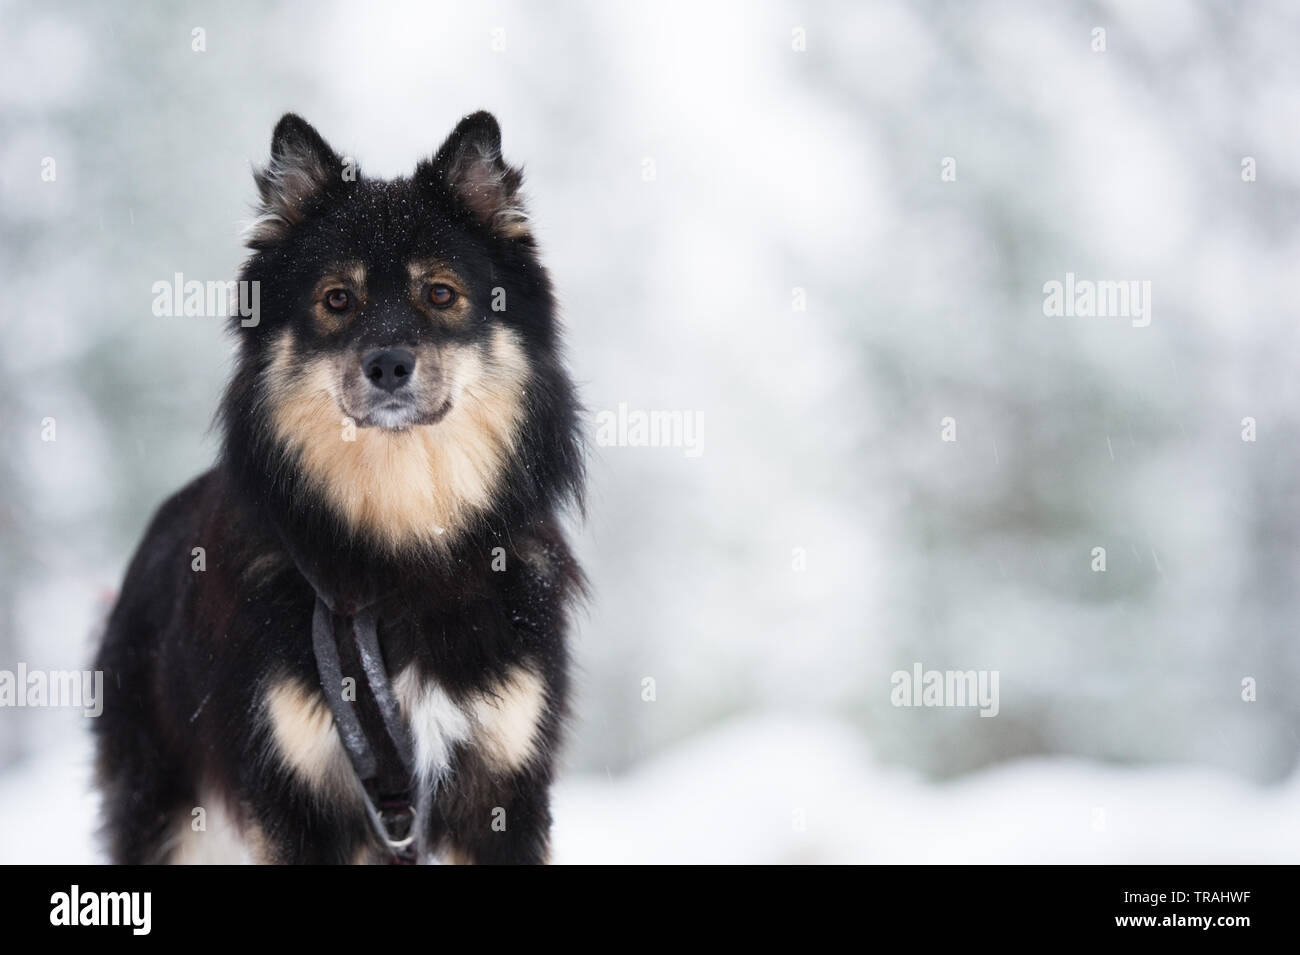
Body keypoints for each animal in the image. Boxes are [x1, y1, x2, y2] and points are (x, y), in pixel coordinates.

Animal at [94, 111, 590, 867]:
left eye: (439, 293)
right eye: (337, 299)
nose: (387, 365)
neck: (405, 550)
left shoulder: (503, 785)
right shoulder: (298, 792)